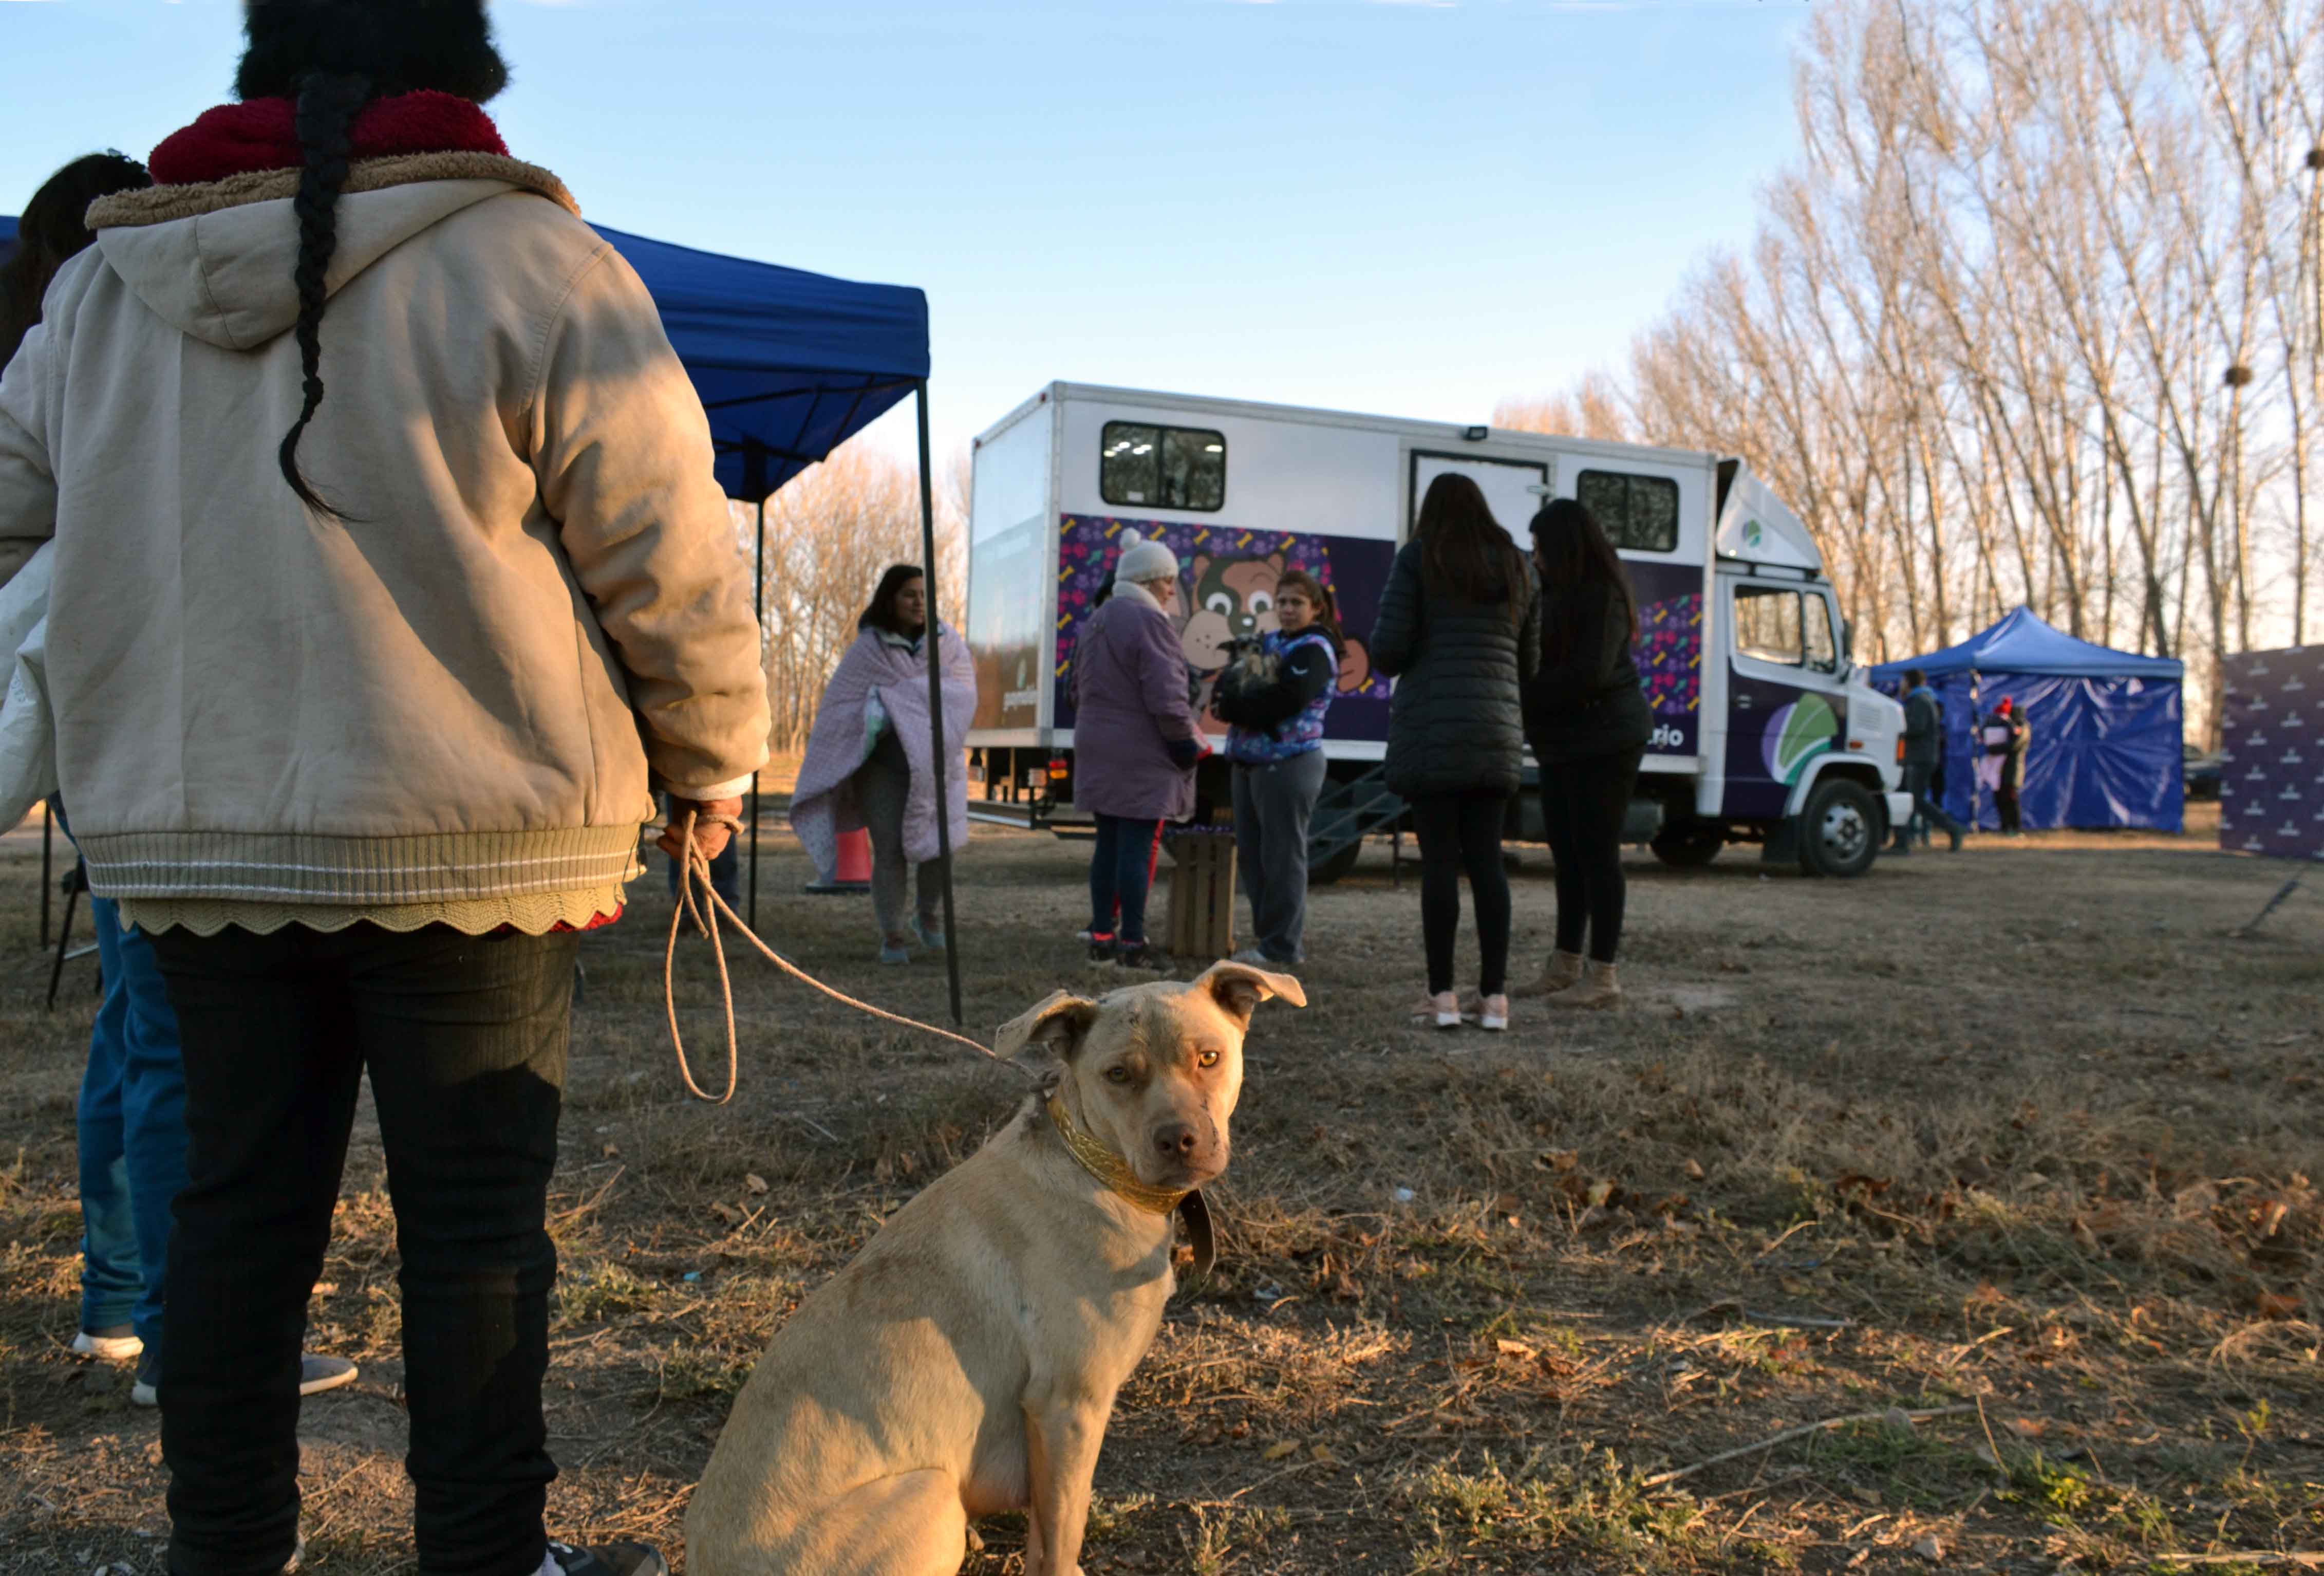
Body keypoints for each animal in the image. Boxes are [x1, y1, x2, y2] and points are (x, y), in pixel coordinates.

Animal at [683, 962, 1310, 1576]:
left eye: (1209, 1058)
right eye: (1117, 1075)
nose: (1179, 1139)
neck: (1092, 1164)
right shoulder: (1066, 1407)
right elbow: (1060, 1537)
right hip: (932, 1496)